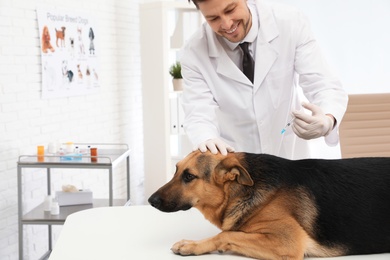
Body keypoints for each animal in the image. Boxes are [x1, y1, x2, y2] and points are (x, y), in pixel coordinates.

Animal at [147, 151, 390, 258]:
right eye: (176, 170)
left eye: (189, 176)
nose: (151, 201)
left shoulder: (287, 242)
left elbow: (226, 234)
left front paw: (192, 245)